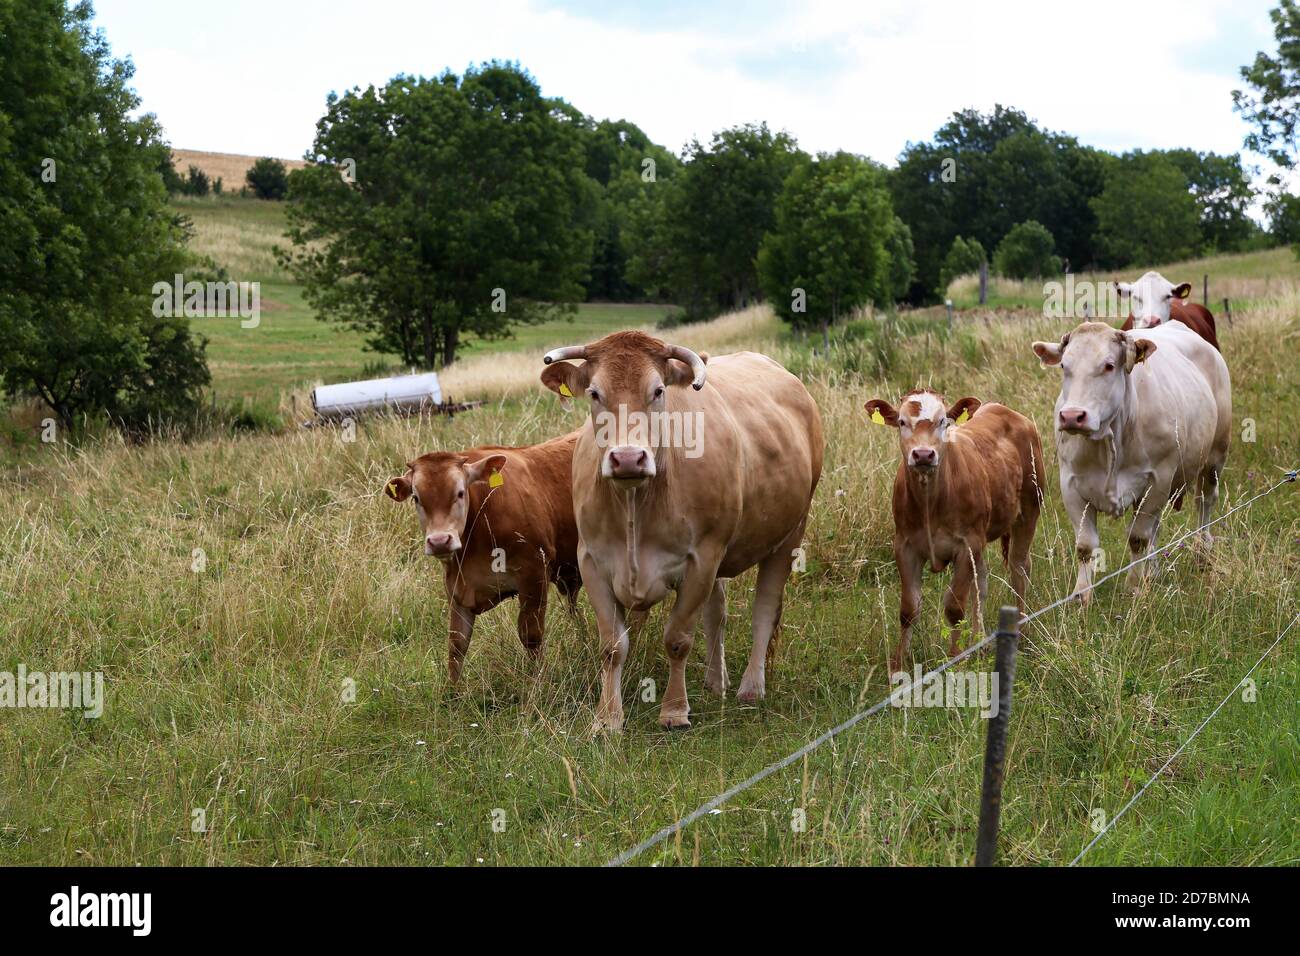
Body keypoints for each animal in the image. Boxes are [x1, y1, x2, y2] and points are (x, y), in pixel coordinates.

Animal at [383, 433, 582, 682]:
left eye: (460, 492)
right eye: (416, 498)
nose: (439, 541)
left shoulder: (535, 573)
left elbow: (531, 635)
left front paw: (538, 681)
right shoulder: (456, 587)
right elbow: (457, 644)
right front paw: (452, 691)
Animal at [540, 331, 823, 732]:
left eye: (658, 391)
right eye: (594, 393)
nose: (628, 458)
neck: (635, 502)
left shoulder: (701, 559)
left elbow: (677, 639)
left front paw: (674, 711)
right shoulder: (591, 560)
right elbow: (612, 646)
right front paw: (607, 718)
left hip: (789, 535)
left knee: (764, 610)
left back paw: (751, 687)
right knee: (717, 613)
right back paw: (715, 681)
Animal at [863, 390, 1044, 673]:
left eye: (943, 422)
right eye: (902, 422)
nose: (923, 454)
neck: (931, 503)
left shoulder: (966, 545)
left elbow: (955, 607)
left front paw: (955, 658)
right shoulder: (905, 546)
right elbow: (909, 609)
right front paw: (899, 663)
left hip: (1029, 509)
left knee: (1019, 568)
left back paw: (1021, 630)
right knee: (982, 581)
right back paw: (979, 640)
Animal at [1031, 321, 1231, 603]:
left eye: (1108, 365)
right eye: (1063, 366)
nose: (1072, 416)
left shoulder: (1158, 478)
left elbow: (1137, 538)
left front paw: (1134, 586)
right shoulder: (1070, 484)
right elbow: (1085, 545)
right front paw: (1081, 595)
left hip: (1214, 457)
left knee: (1204, 502)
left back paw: (1202, 552)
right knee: (1156, 527)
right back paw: (1153, 571)